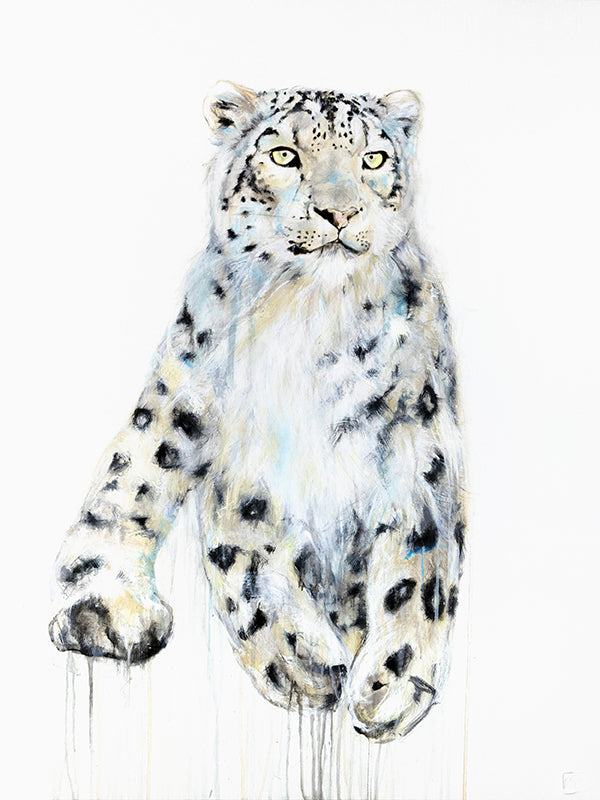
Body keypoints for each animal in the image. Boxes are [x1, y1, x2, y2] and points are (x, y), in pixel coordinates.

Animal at [49, 81, 465, 743]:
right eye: (285, 156)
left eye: (374, 159)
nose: (340, 213)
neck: (314, 319)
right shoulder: (244, 471)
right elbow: (249, 564)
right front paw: (304, 666)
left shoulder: (416, 443)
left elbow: (418, 565)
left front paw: (391, 684)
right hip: (179, 400)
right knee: (128, 481)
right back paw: (108, 610)